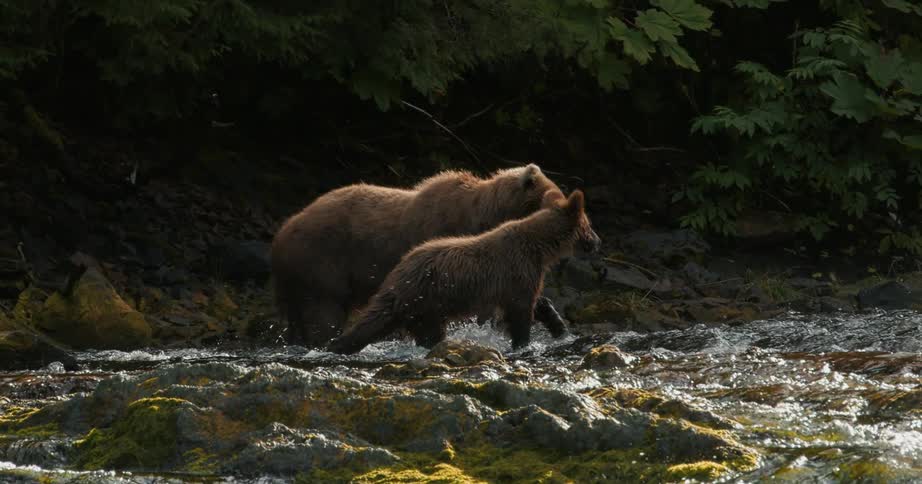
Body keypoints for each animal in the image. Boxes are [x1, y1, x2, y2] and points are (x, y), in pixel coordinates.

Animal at [271, 164, 583, 347]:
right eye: (555, 194)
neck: (484, 216)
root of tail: (281, 233)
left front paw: (558, 325)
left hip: (299, 279)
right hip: (323, 263)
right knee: (324, 313)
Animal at [326, 189, 600, 355]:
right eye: (589, 224)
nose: (597, 242)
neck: (540, 249)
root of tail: (397, 274)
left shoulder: (517, 277)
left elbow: (535, 301)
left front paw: (558, 326)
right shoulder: (517, 270)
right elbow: (520, 311)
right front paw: (523, 342)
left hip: (420, 306)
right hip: (426, 299)